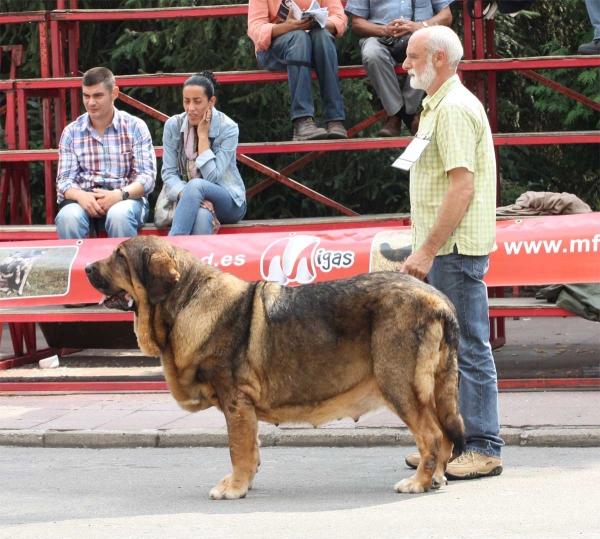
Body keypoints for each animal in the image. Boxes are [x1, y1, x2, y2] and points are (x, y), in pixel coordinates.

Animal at [86, 238, 466, 500]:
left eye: (120, 257)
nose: (88, 268)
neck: (185, 302)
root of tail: (439, 300)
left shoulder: (235, 401)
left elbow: (237, 449)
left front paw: (234, 488)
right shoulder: (244, 409)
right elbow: (250, 450)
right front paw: (243, 482)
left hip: (399, 384)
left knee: (432, 436)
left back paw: (418, 481)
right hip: (431, 389)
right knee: (445, 436)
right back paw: (437, 477)